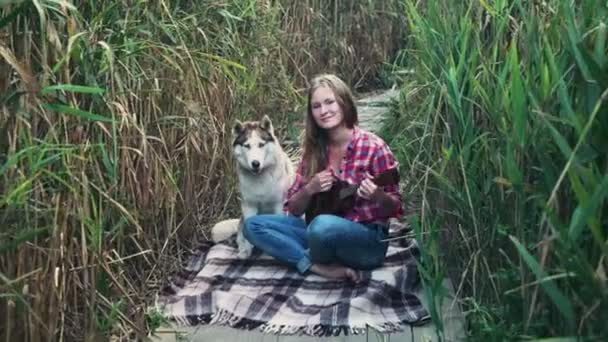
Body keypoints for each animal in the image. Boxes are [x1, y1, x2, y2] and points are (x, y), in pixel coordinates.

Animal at [210, 115, 294, 260]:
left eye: (261, 144)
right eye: (247, 146)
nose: (255, 163)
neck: (260, 178)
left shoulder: (279, 205)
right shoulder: (249, 206)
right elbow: (247, 233)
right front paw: (247, 251)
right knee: (240, 235)